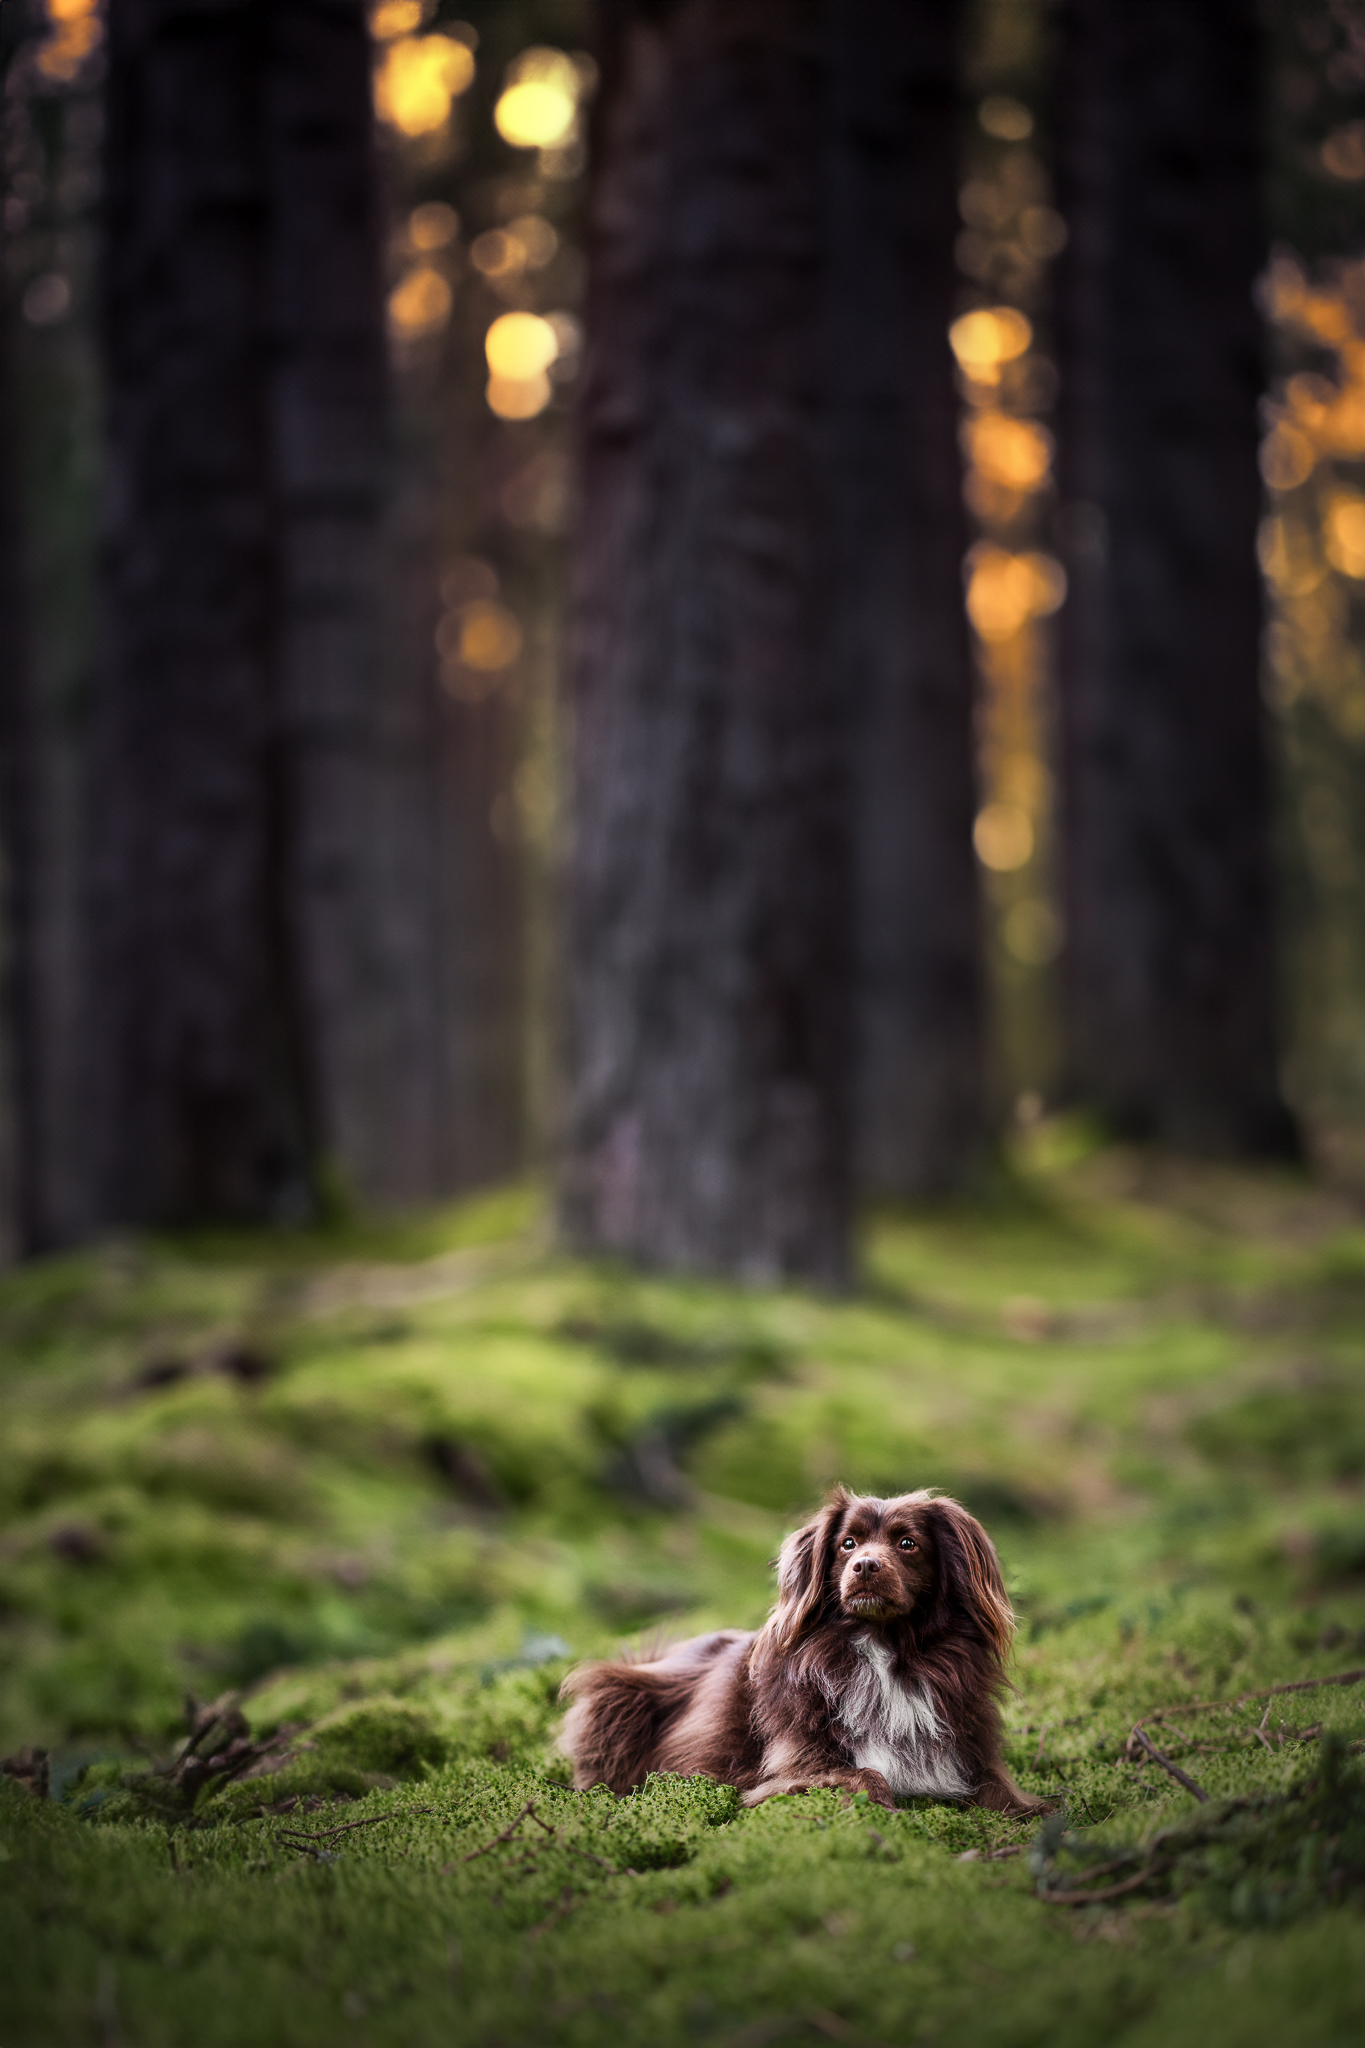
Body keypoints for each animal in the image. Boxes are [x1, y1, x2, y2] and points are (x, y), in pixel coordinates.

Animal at [560, 1482, 1055, 1818]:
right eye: (847, 1543)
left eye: (907, 1543)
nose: (865, 1566)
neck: (887, 1653)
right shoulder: (784, 1773)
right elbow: (867, 1774)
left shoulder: (967, 1750)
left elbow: (1004, 1791)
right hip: (617, 1695)